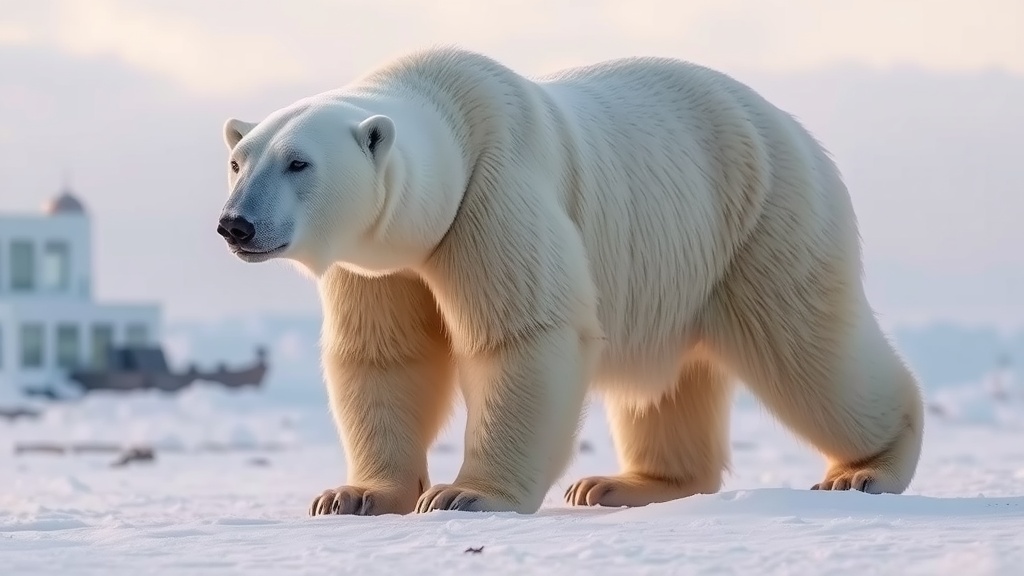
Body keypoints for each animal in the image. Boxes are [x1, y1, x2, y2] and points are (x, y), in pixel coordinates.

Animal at [218, 44, 929, 510]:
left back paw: (863, 471)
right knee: (670, 383)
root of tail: (795, 129)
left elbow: (524, 336)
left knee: (806, 348)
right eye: (238, 160)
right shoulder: (381, 260)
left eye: (299, 162)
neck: (452, 114)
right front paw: (353, 495)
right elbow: (384, 354)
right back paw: (619, 484)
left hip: (764, 218)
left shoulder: (494, 192)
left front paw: (463, 496)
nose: (235, 225)